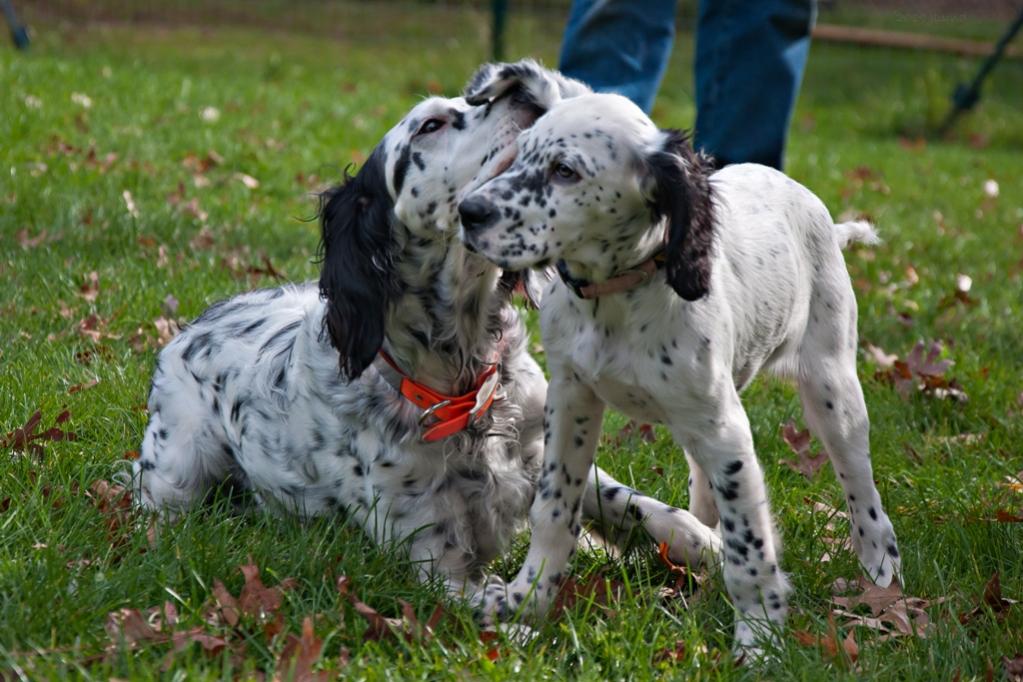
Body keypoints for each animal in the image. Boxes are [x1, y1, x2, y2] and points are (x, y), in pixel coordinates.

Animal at [129, 65, 720, 601]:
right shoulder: (434, 555)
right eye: (431, 125)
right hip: (177, 472)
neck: (464, 380)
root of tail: (193, 324)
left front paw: (709, 546)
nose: (526, 93)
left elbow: (647, 507)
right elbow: (491, 597)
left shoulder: (545, 452)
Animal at [460, 82, 900, 654]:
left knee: (860, 482)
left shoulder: (726, 431)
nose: (468, 212)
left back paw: (878, 566)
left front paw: (759, 639)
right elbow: (553, 509)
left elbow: (749, 547)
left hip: (831, 386)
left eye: (565, 170)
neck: (616, 298)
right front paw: (524, 602)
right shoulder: (572, 399)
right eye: (521, 153)